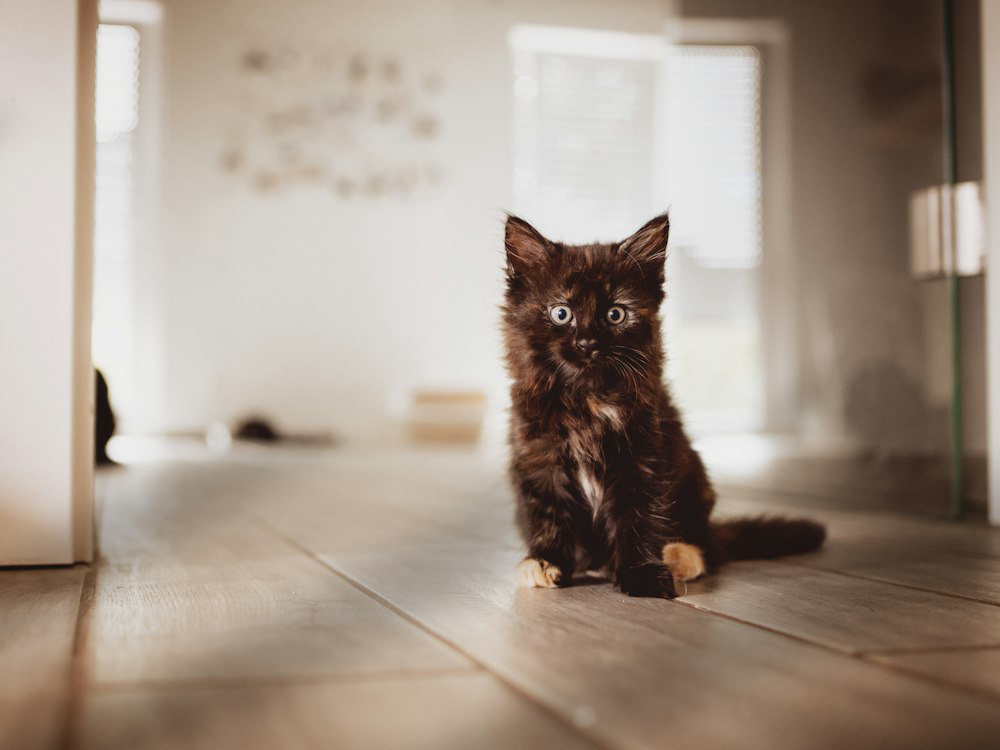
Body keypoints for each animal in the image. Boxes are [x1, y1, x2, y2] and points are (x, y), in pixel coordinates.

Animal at [504, 212, 824, 600]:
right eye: (561, 313)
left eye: (615, 314)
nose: (587, 343)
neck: (587, 400)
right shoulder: (539, 459)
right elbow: (547, 514)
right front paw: (546, 560)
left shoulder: (643, 457)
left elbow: (639, 517)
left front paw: (641, 574)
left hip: (695, 482)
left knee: (707, 546)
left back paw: (678, 556)